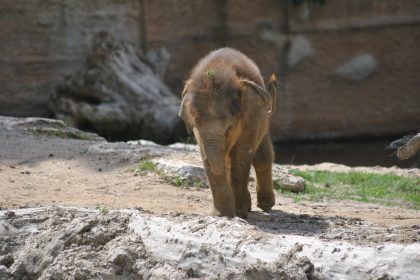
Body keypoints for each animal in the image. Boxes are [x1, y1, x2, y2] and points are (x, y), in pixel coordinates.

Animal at [179, 48, 278, 219]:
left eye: (230, 127)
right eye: (196, 125)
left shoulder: (251, 118)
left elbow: (241, 155)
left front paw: (238, 213)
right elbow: (212, 159)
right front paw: (222, 215)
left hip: (263, 119)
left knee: (262, 155)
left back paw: (265, 205)